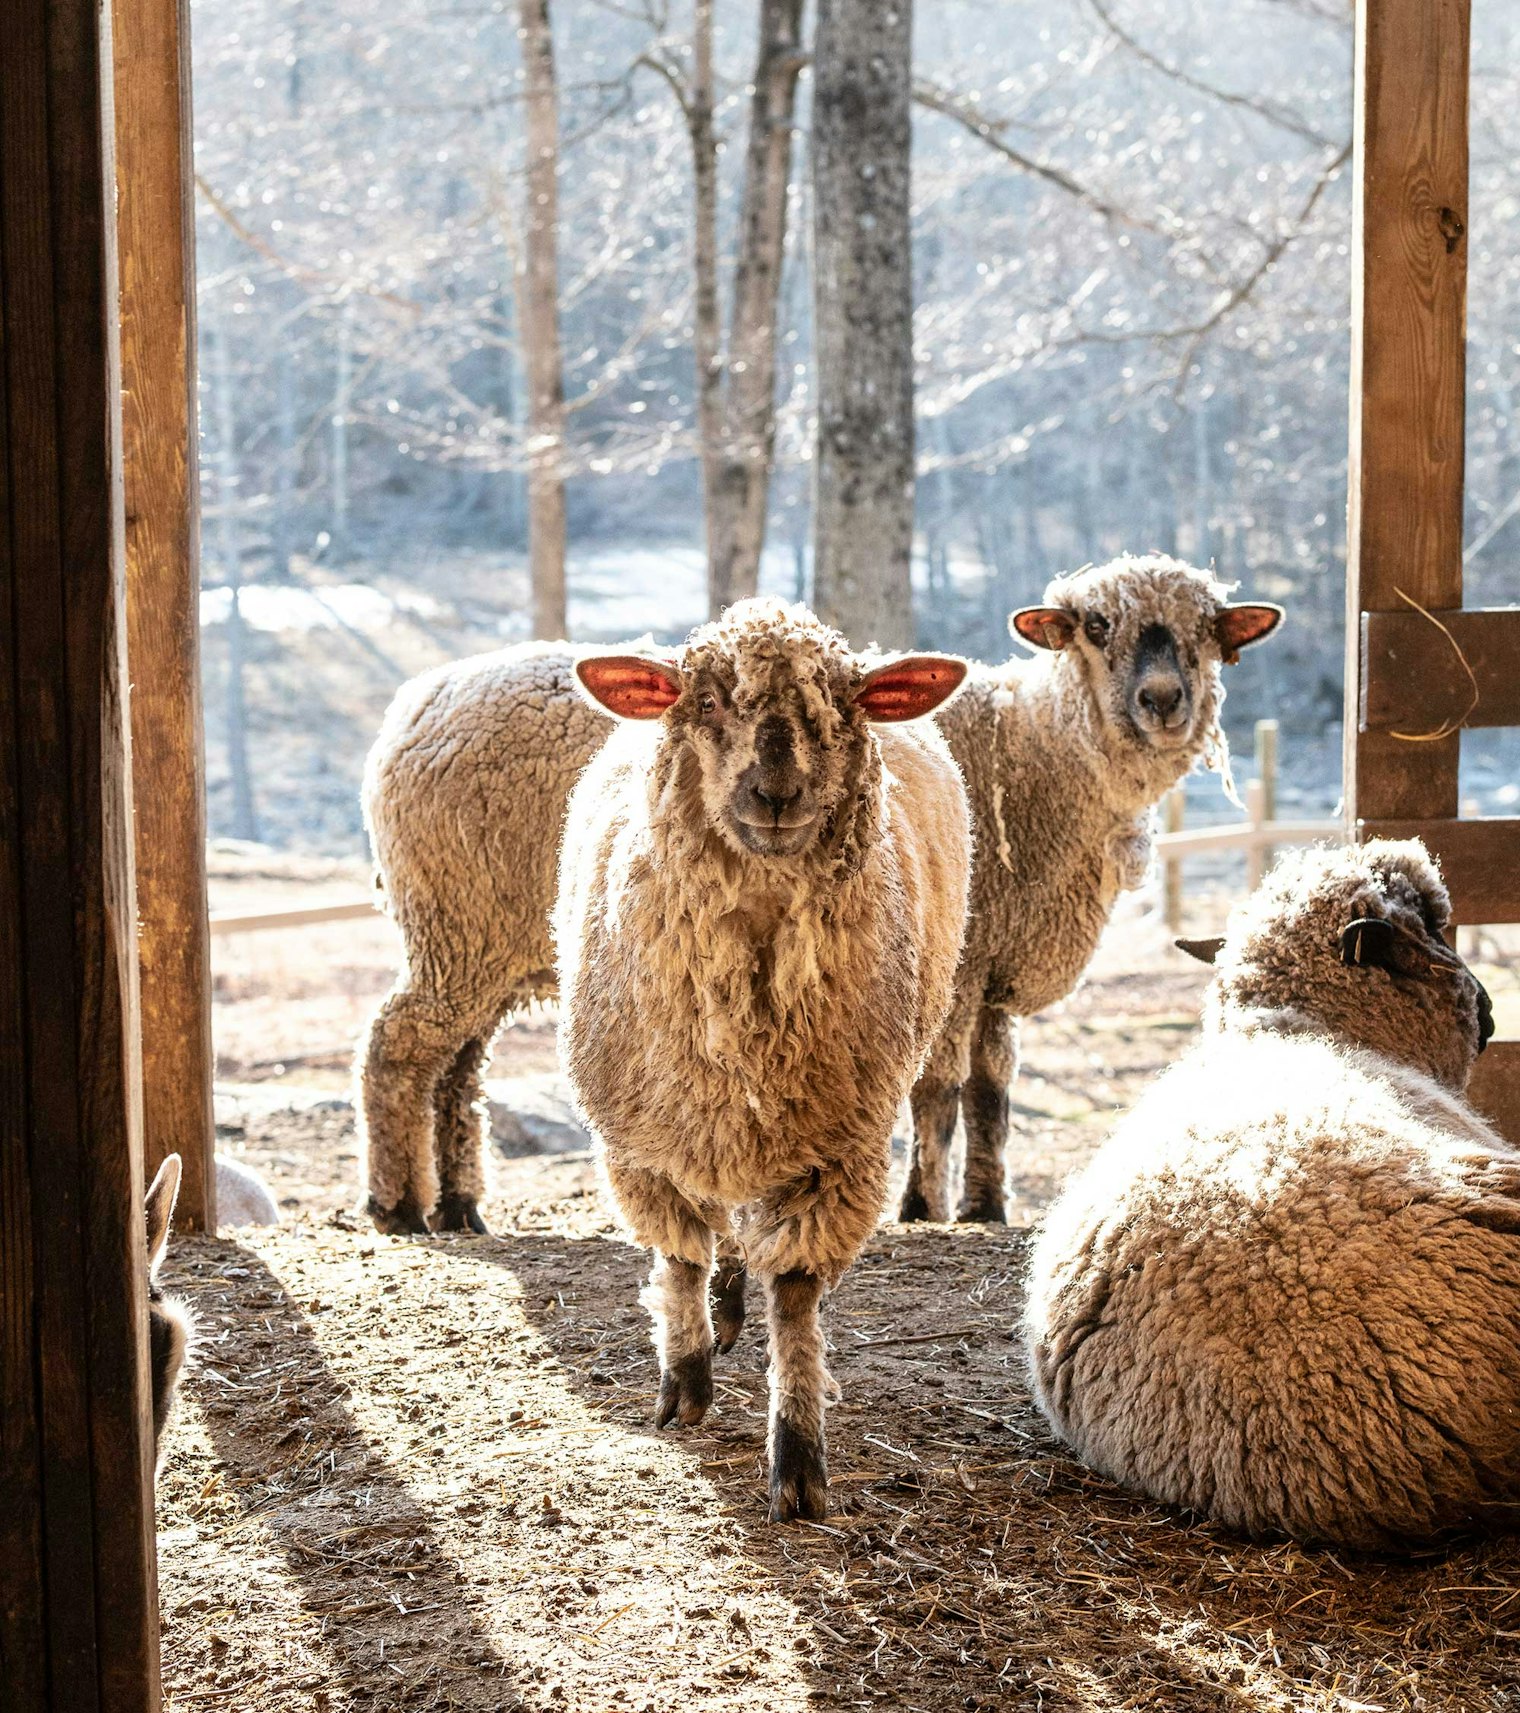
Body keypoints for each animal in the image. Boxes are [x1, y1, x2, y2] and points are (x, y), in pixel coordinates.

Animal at [554, 597, 972, 1521]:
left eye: (842, 708)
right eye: (706, 702)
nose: (776, 794)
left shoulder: (838, 1150)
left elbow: (797, 1298)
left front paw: (799, 1452)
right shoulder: (640, 1144)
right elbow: (678, 1255)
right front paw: (684, 1384)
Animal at [898, 552, 1284, 1224]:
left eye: (1205, 627)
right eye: (1098, 627)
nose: (1163, 699)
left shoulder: (1001, 959)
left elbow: (990, 1090)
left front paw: (985, 1208)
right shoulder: (959, 958)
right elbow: (937, 1088)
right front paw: (923, 1209)